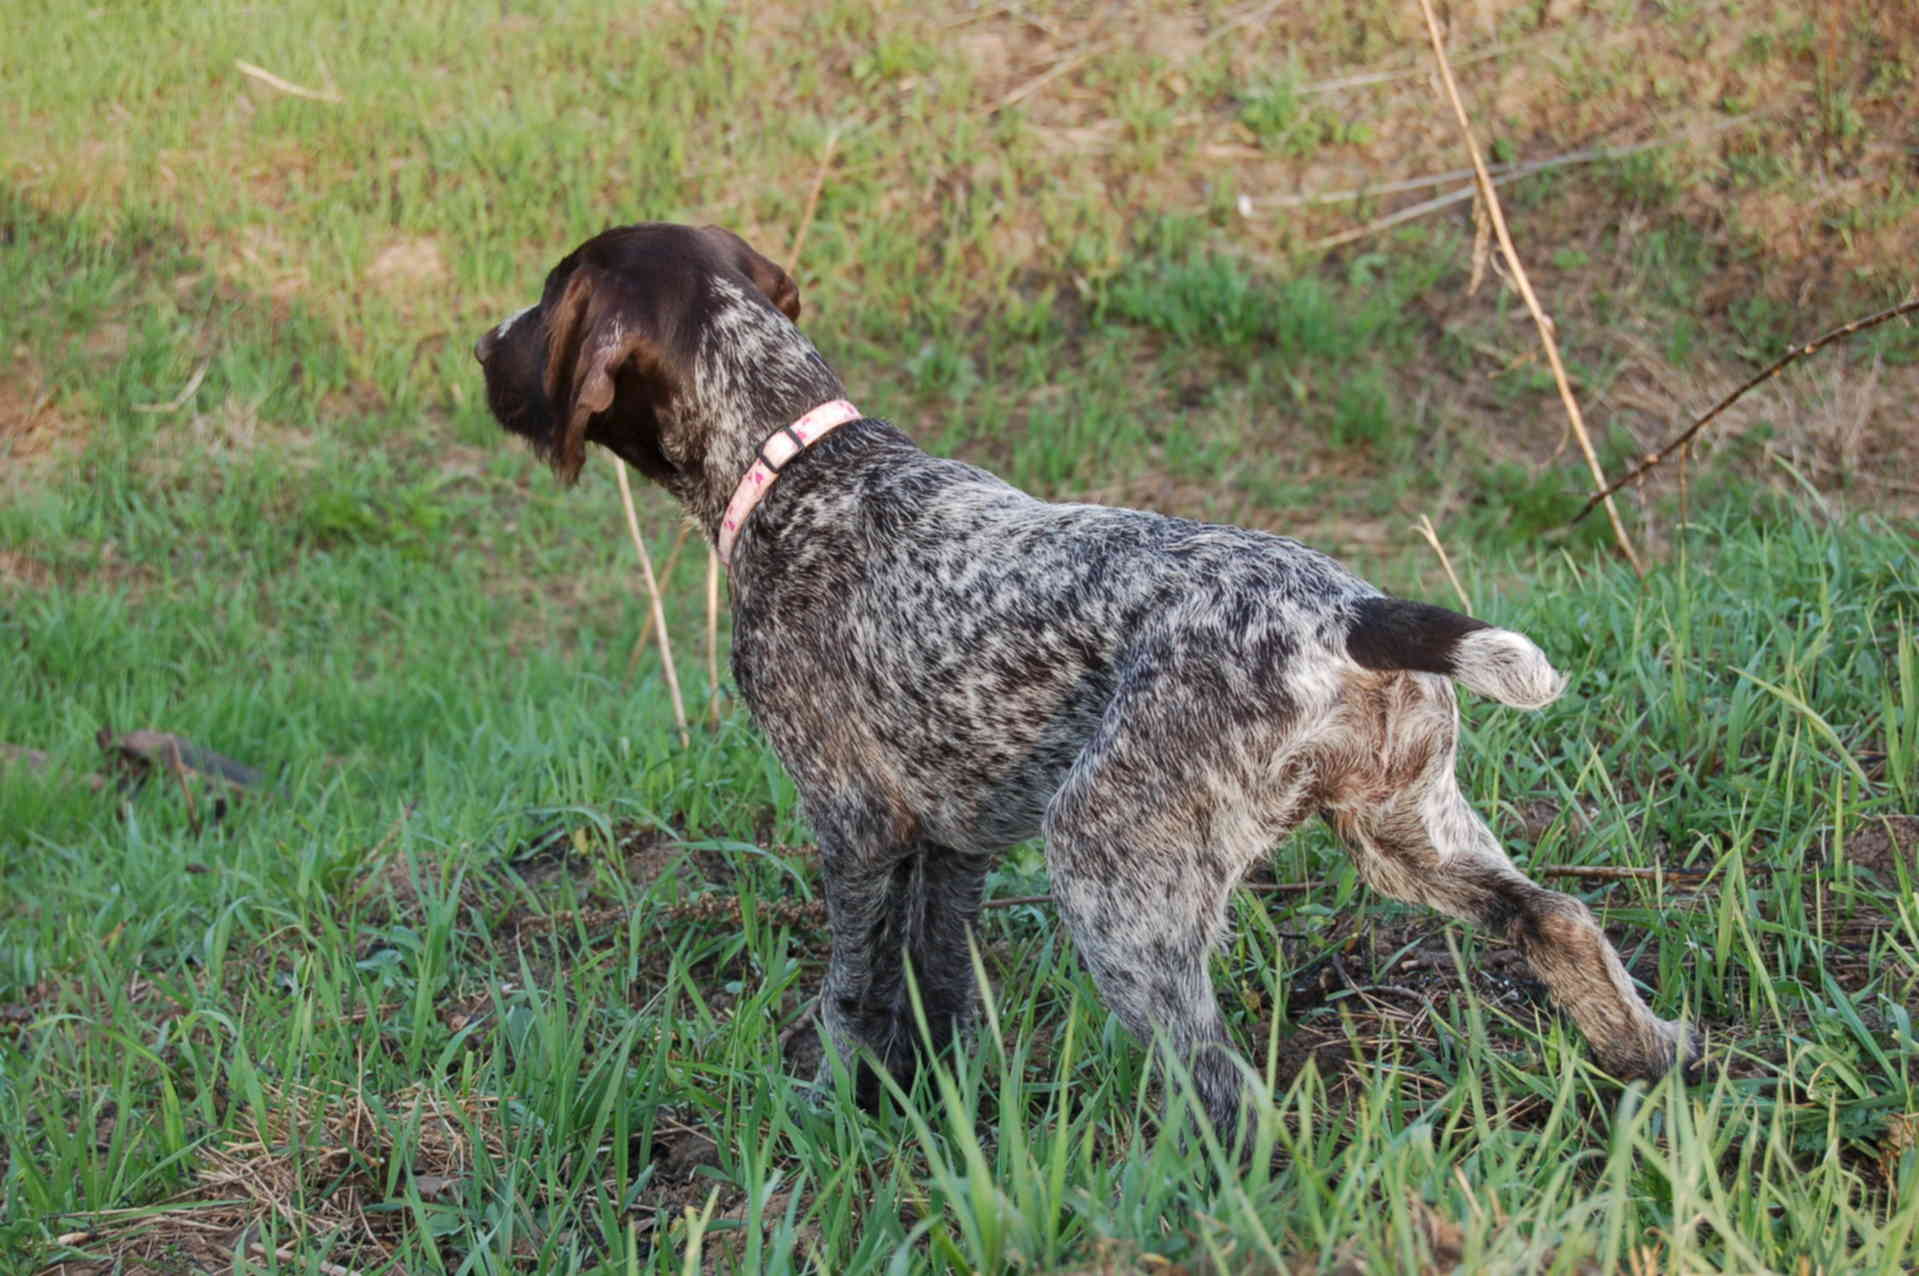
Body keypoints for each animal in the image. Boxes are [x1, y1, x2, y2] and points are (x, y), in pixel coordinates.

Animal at [475, 221, 1696, 1135]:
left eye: (545, 301)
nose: (483, 342)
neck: (798, 461)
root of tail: (1349, 614)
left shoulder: (855, 822)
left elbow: (851, 991)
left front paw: (829, 1109)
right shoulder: (954, 839)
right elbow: (937, 980)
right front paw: (941, 1108)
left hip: (1109, 862)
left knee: (1220, 1084)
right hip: (1405, 828)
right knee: (1555, 918)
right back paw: (1650, 1055)